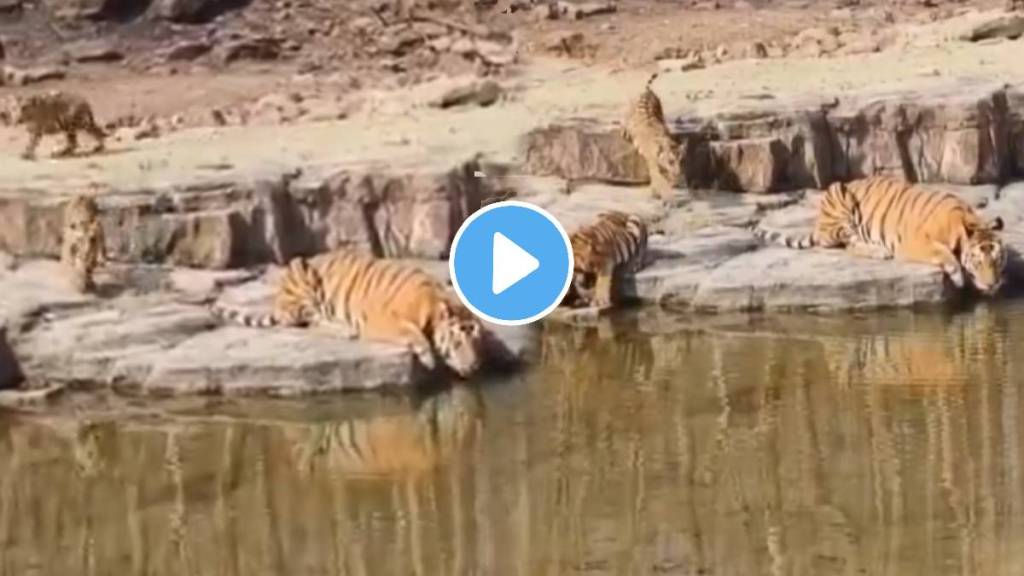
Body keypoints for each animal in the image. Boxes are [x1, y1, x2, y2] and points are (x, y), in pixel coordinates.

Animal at [210, 249, 487, 377]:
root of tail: (278, 299)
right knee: (308, 321)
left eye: (477, 342)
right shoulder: (379, 320)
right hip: (302, 272)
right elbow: (410, 330)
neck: (432, 304)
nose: (475, 365)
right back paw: (344, 329)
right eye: (458, 342)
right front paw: (428, 357)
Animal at [620, 71, 682, 203]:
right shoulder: (653, 166)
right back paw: (624, 131)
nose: (678, 173)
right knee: (625, 122)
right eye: (671, 161)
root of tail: (648, 91)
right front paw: (667, 196)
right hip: (629, 114)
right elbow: (660, 181)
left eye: (680, 160)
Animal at [750, 175, 1007, 295]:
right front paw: (957, 274)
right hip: (839, 194)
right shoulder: (913, 242)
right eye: (978, 262)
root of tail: (818, 222)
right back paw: (879, 251)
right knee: (849, 243)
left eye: (996, 261)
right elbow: (941, 250)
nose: (993, 284)